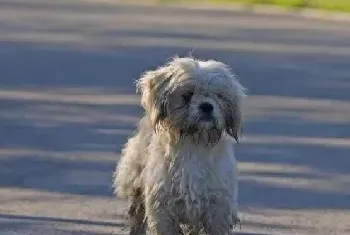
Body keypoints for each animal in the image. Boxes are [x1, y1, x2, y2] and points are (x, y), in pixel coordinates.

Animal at [114, 57, 246, 235]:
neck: (194, 143)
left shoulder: (218, 209)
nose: (207, 105)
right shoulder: (163, 209)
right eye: (187, 95)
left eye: (218, 96)